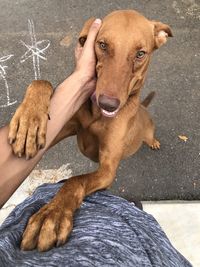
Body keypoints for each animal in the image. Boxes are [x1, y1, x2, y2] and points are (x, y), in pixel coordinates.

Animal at [7, 10, 172, 252]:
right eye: (102, 45)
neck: (97, 116)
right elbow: (42, 81)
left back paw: (153, 142)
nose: (108, 104)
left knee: (150, 137)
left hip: (148, 131)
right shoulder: (61, 129)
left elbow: (75, 181)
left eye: (141, 53)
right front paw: (29, 120)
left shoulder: (107, 169)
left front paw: (52, 214)